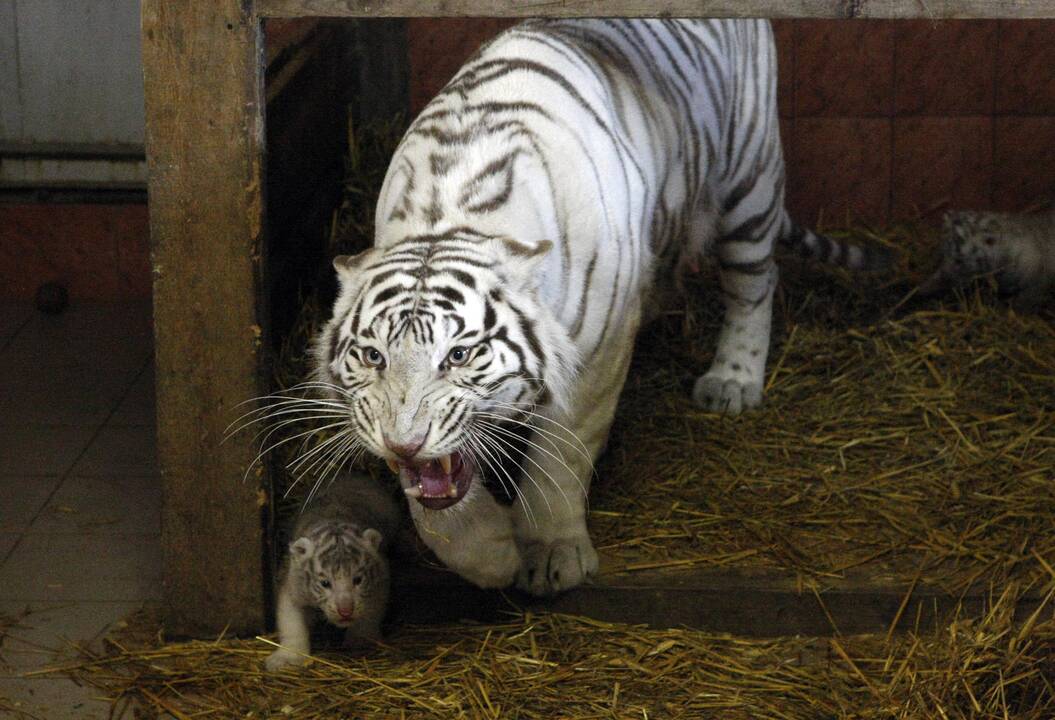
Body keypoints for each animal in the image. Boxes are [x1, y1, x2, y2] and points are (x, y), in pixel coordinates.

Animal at [310, 19, 881, 595]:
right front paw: (490, 555)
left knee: (755, 283)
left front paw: (550, 553)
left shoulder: (595, 355)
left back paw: (733, 380)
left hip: (751, 179)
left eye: (459, 355)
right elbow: (436, 501)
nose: (402, 443)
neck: (451, 217)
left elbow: (561, 455)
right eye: (374, 357)